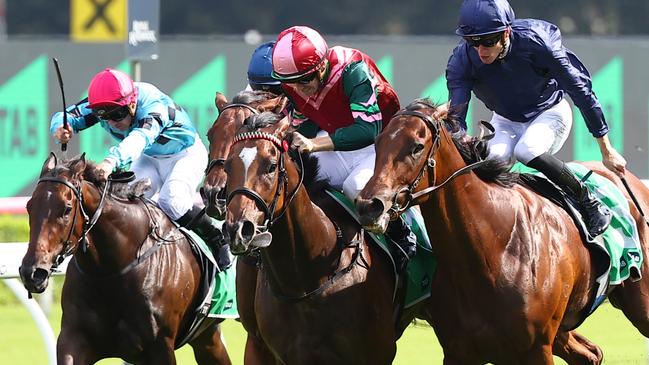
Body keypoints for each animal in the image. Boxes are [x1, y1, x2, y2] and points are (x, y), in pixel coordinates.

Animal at [19, 153, 233, 364]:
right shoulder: (74, 338)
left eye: (67, 209)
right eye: (29, 206)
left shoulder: (161, 346)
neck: (111, 270)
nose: (32, 273)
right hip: (205, 337)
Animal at [354, 97, 648, 364]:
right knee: (591, 353)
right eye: (377, 144)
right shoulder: (459, 351)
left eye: (417, 146)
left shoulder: (537, 349)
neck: (495, 249)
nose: (369, 205)